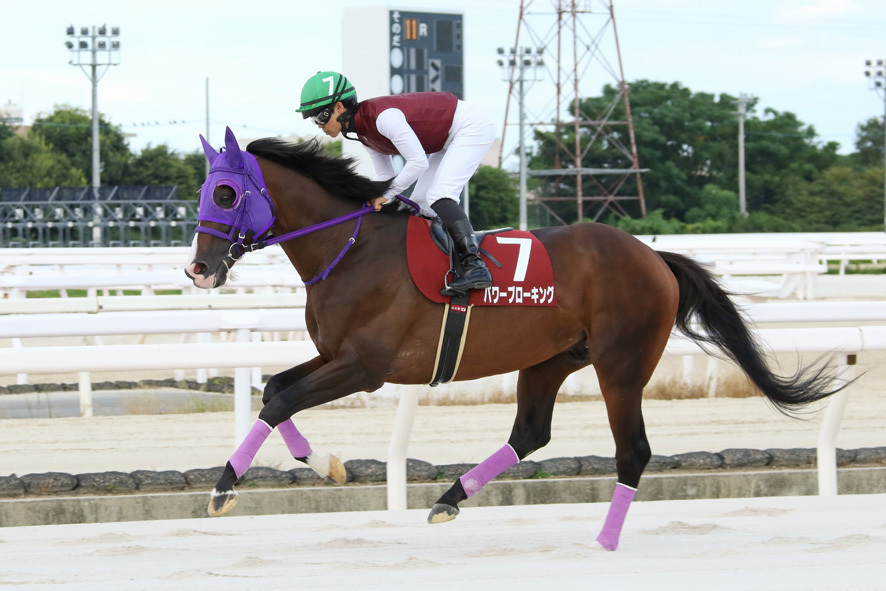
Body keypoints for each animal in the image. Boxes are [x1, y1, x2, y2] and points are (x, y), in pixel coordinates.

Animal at [186, 127, 848, 552]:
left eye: (224, 193)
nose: (198, 269)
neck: (350, 248)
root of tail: (654, 256)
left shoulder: (364, 367)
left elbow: (278, 401)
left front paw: (222, 489)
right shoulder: (335, 356)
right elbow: (275, 388)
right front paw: (323, 465)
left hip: (621, 363)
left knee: (632, 451)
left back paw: (604, 543)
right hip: (551, 358)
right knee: (531, 432)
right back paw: (449, 497)